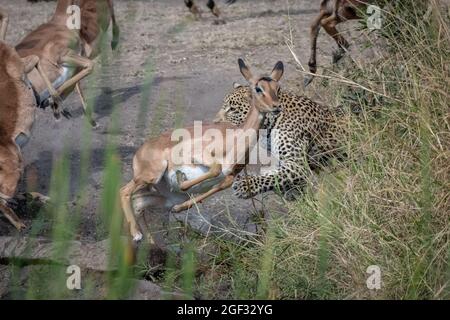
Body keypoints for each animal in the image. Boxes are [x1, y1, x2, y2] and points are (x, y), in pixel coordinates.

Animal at [118, 58, 282, 241]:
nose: (276, 106)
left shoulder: (230, 176)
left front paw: (180, 207)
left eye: (277, 88)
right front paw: (182, 181)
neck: (235, 139)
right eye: (258, 88)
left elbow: (221, 181)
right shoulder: (198, 155)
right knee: (123, 191)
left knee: (138, 203)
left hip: (167, 196)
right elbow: (215, 168)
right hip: (151, 176)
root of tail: (139, 152)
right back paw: (136, 234)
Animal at [216, 82, 346, 199]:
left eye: (232, 109)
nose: (215, 121)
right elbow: (275, 174)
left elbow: (272, 177)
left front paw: (246, 186)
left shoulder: (296, 164)